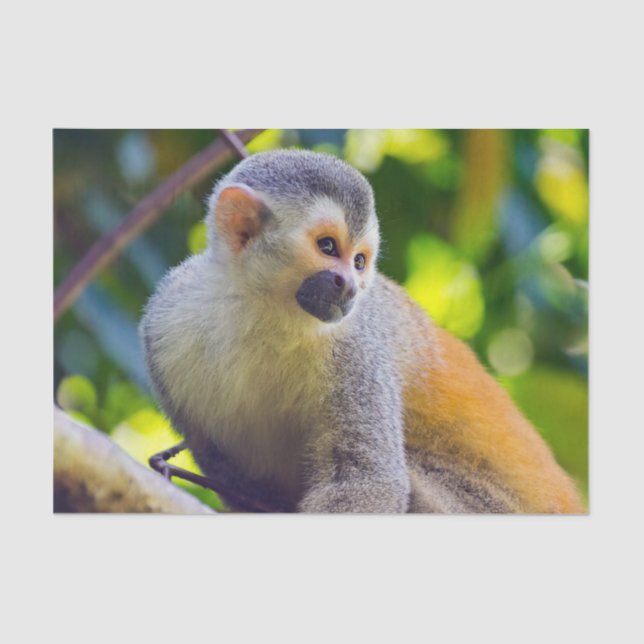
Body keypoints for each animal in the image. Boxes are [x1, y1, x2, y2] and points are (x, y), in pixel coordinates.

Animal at [140, 149, 584, 514]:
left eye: (359, 261)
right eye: (328, 247)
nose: (351, 286)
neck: (260, 309)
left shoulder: (356, 346)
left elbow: (367, 478)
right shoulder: (163, 323)